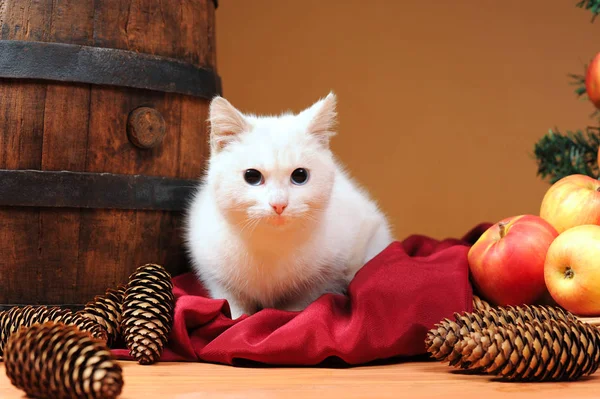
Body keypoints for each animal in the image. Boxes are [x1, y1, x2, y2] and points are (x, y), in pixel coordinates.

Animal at [185, 92, 396, 320]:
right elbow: (234, 309)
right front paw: (237, 317)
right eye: (252, 176)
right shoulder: (216, 275)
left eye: (300, 175)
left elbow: (297, 306)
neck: (270, 244)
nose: (279, 204)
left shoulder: (325, 275)